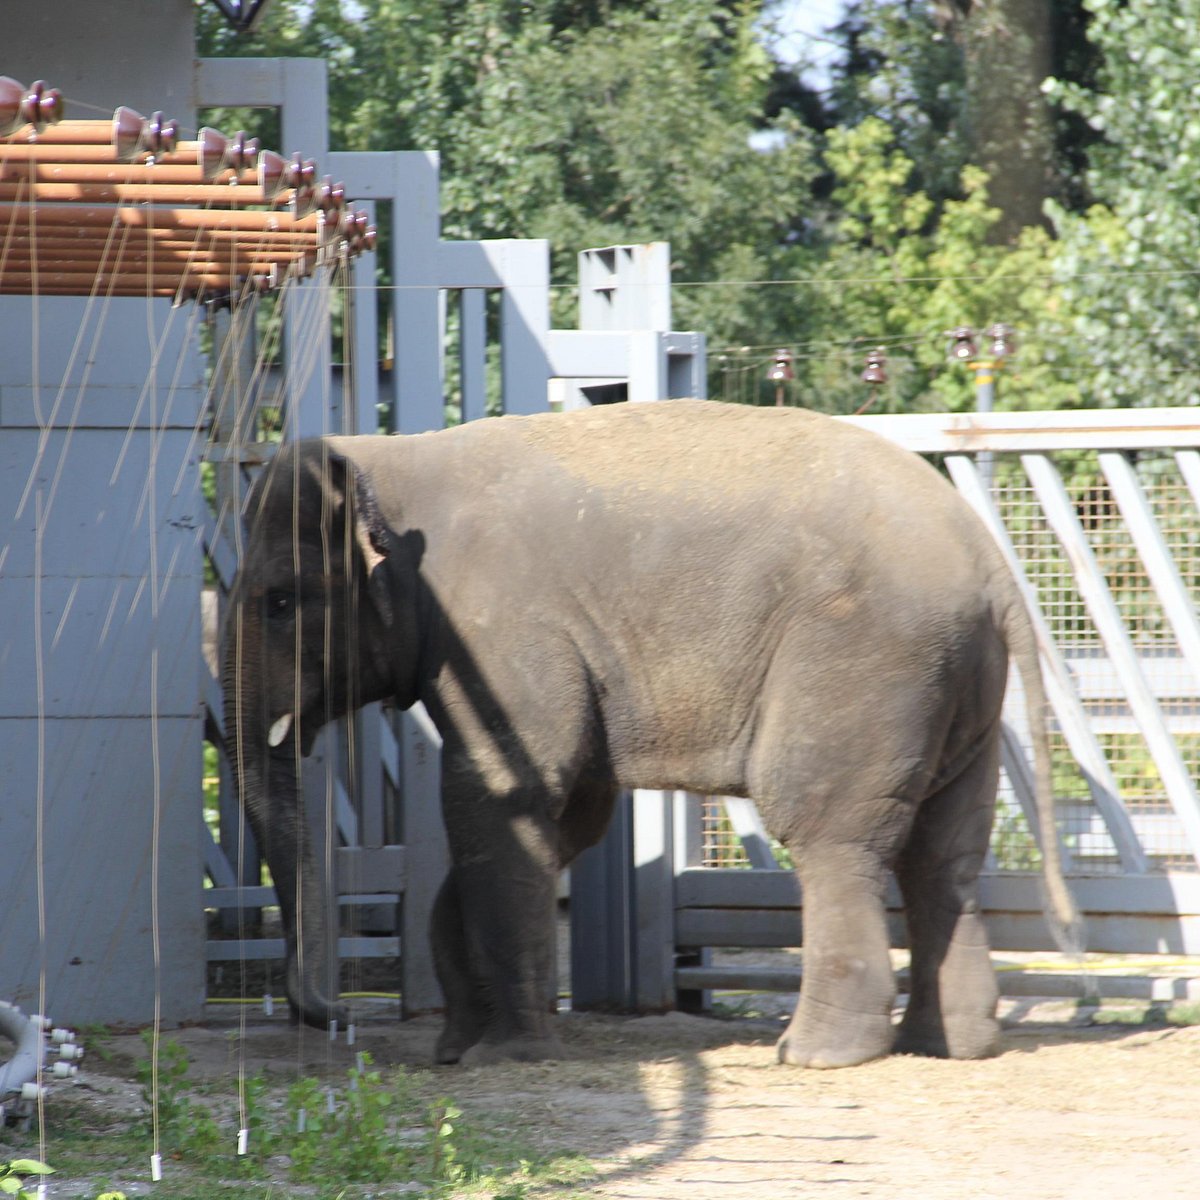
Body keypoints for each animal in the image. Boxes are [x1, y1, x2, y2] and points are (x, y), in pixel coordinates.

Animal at [223, 396, 1080, 1070]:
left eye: (278, 601)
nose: (339, 1018)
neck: (389, 460)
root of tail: (992, 565)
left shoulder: (500, 628)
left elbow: (502, 794)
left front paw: (506, 1056)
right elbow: (565, 814)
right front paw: (457, 1051)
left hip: (867, 660)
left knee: (830, 834)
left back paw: (814, 1055)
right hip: (959, 682)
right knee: (944, 853)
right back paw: (952, 1047)